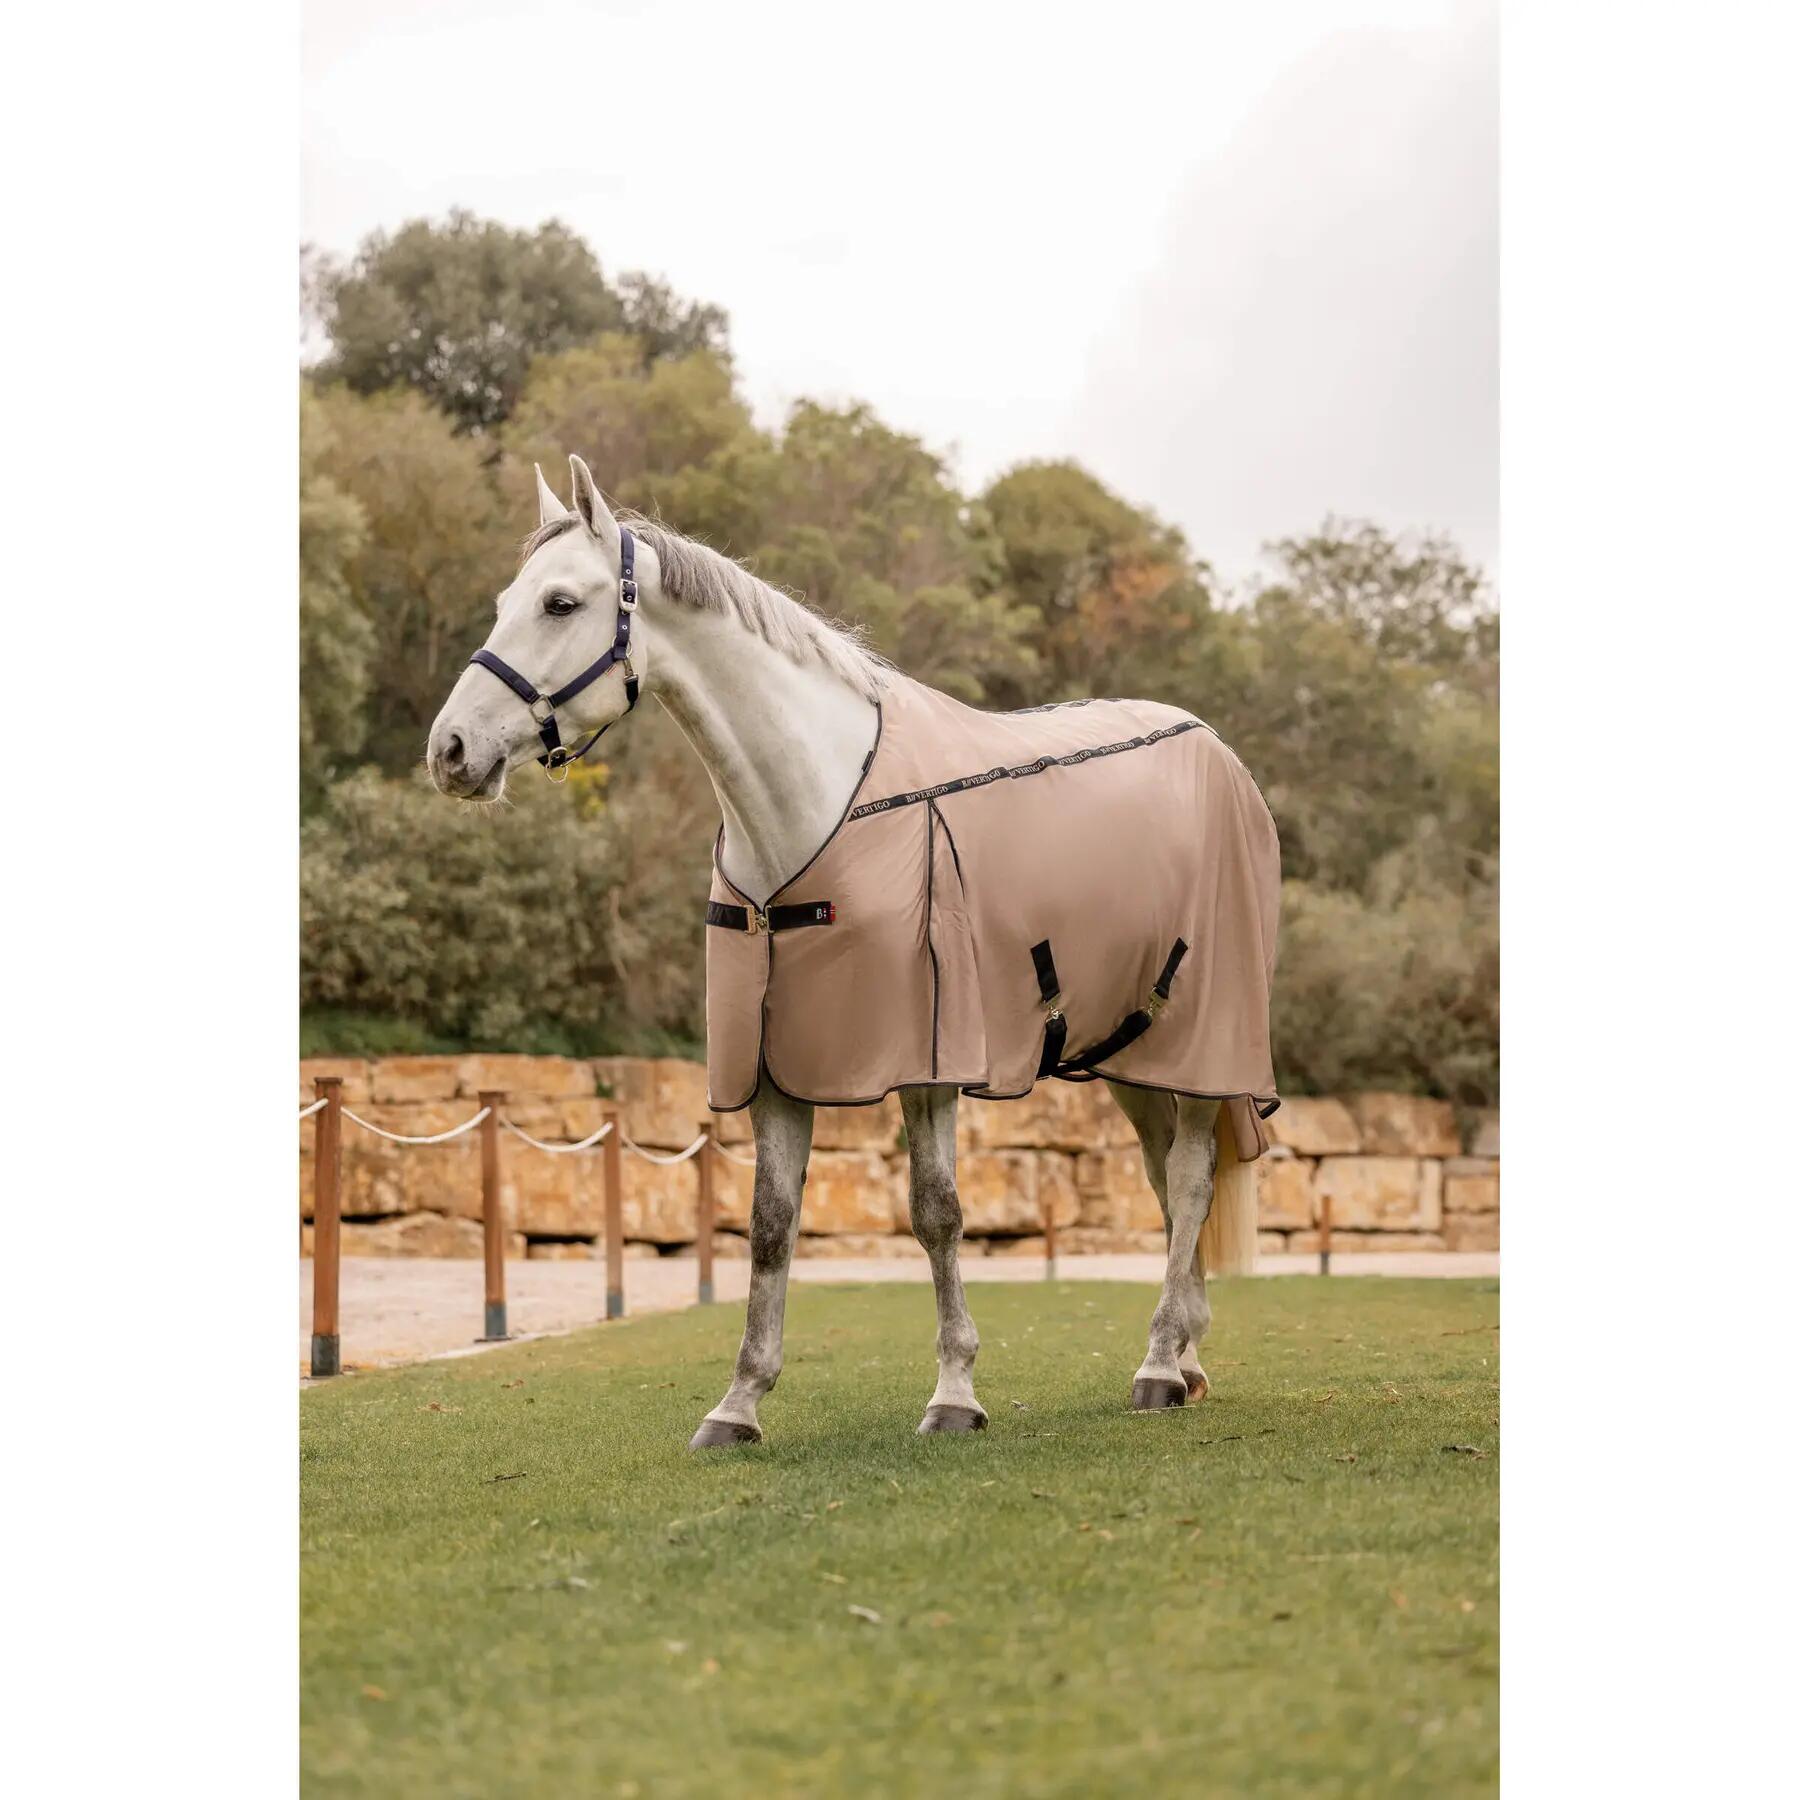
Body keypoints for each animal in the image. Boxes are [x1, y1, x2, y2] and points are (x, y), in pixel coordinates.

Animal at [428, 456, 1280, 1448]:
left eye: (561, 603)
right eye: (507, 600)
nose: (450, 750)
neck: (816, 800)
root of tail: (1219, 753)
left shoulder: (928, 1061)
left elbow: (936, 1213)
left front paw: (954, 1392)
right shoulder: (772, 1063)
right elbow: (769, 1224)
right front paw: (738, 1404)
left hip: (1200, 1048)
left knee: (1188, 1180)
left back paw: (1156, 1366)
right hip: (1126, 1053)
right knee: (1167, 1180)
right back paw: (1184, 1357)